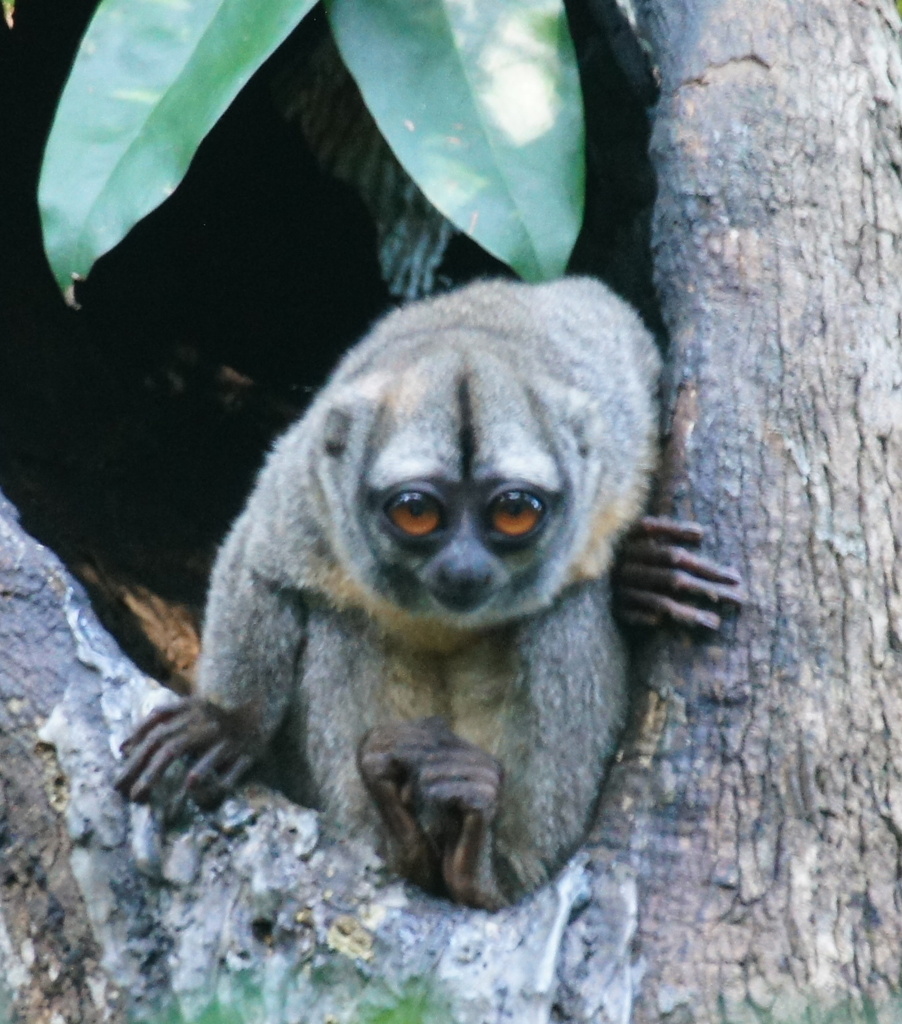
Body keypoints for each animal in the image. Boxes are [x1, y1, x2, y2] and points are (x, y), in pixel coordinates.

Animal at [116, 277, 742, 909]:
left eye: (514, 511)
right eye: (416, 512)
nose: (463, 569)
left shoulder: (620, 442)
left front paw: (646, 573)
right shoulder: (310, 489)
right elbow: (259, 560)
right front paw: (224, 724)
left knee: (569, 610)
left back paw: (483, 866)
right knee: (343, 622)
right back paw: (405, 838)